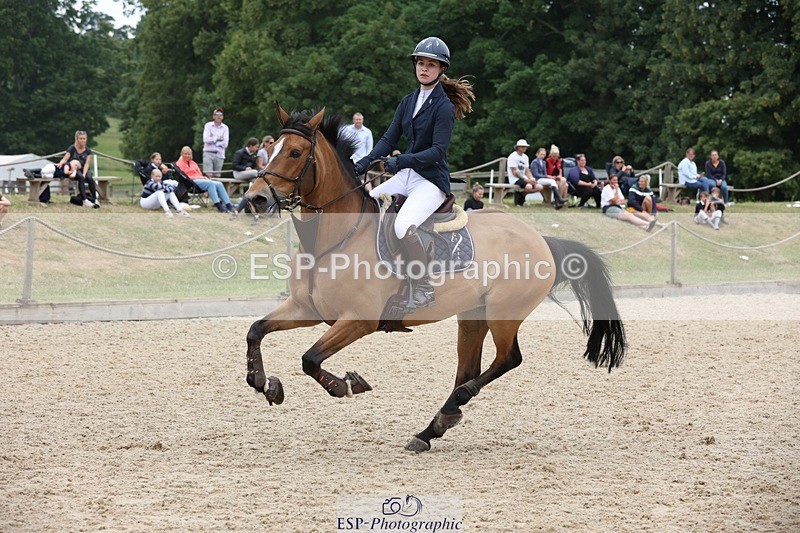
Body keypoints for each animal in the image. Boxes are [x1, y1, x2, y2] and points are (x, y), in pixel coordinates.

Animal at [242, 104, 626, 452]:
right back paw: (434, 427)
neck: (332, 240)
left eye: (295, 152)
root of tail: (541, 239)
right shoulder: (306, 309)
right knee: (468, 368)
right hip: (473, 316)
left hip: (504, 314)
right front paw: (264, 383)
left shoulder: (358, 321)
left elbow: (310, 359)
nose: (255, 198)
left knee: (506, 360)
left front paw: (346, 385)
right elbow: (256, 331)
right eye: (271, 148)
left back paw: (454, 406)